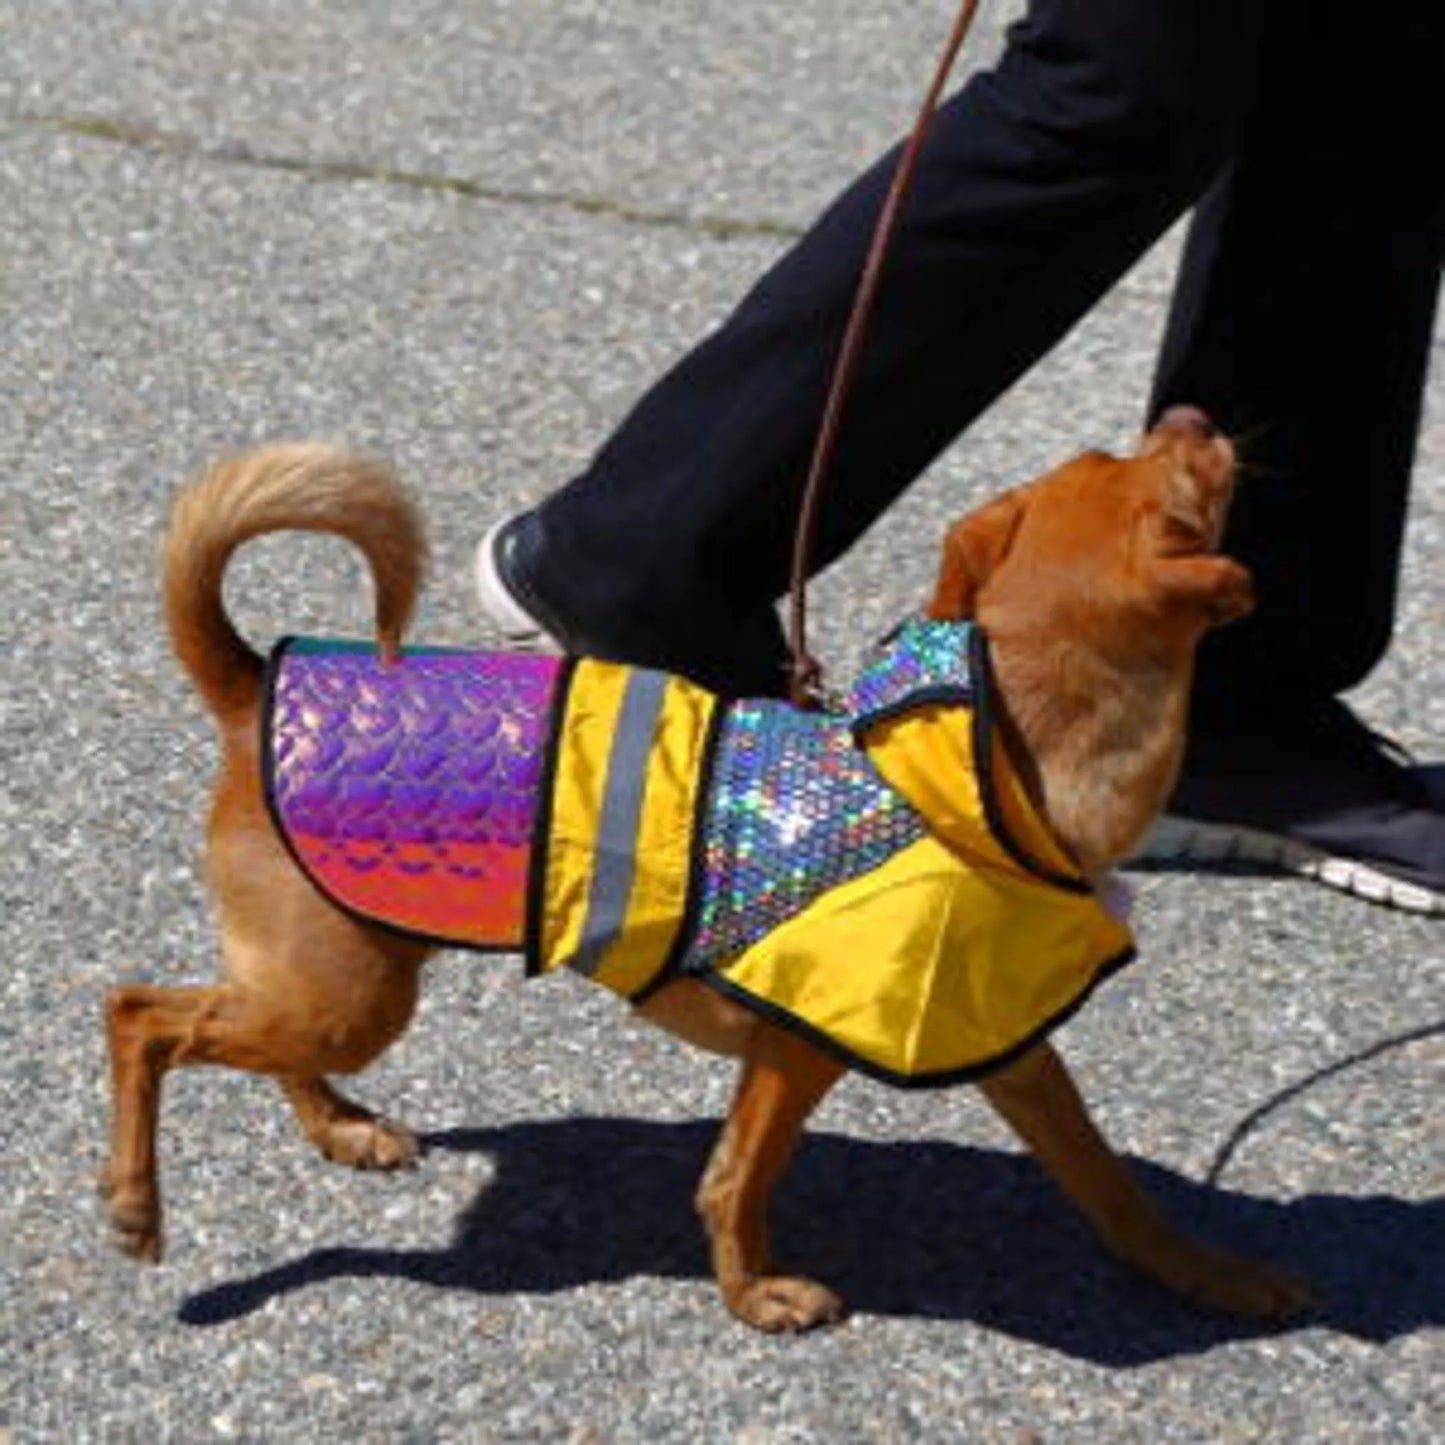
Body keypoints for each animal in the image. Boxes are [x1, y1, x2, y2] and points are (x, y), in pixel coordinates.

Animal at [104, 407, 1323, 1329]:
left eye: (1128, 453)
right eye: (1185, 485)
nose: (1189, 412)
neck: (982, 761)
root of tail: (253, 684)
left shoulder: (1008, 1047)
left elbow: (1109, 1184)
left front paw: (1210, 1276)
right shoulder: (796, 1048)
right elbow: (738, 1180)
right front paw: (755, 1294)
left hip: (337, 980)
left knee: (247, 1038)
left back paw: (339, 1128)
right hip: (350, 992)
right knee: (143, 1016)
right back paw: (136, 1200)